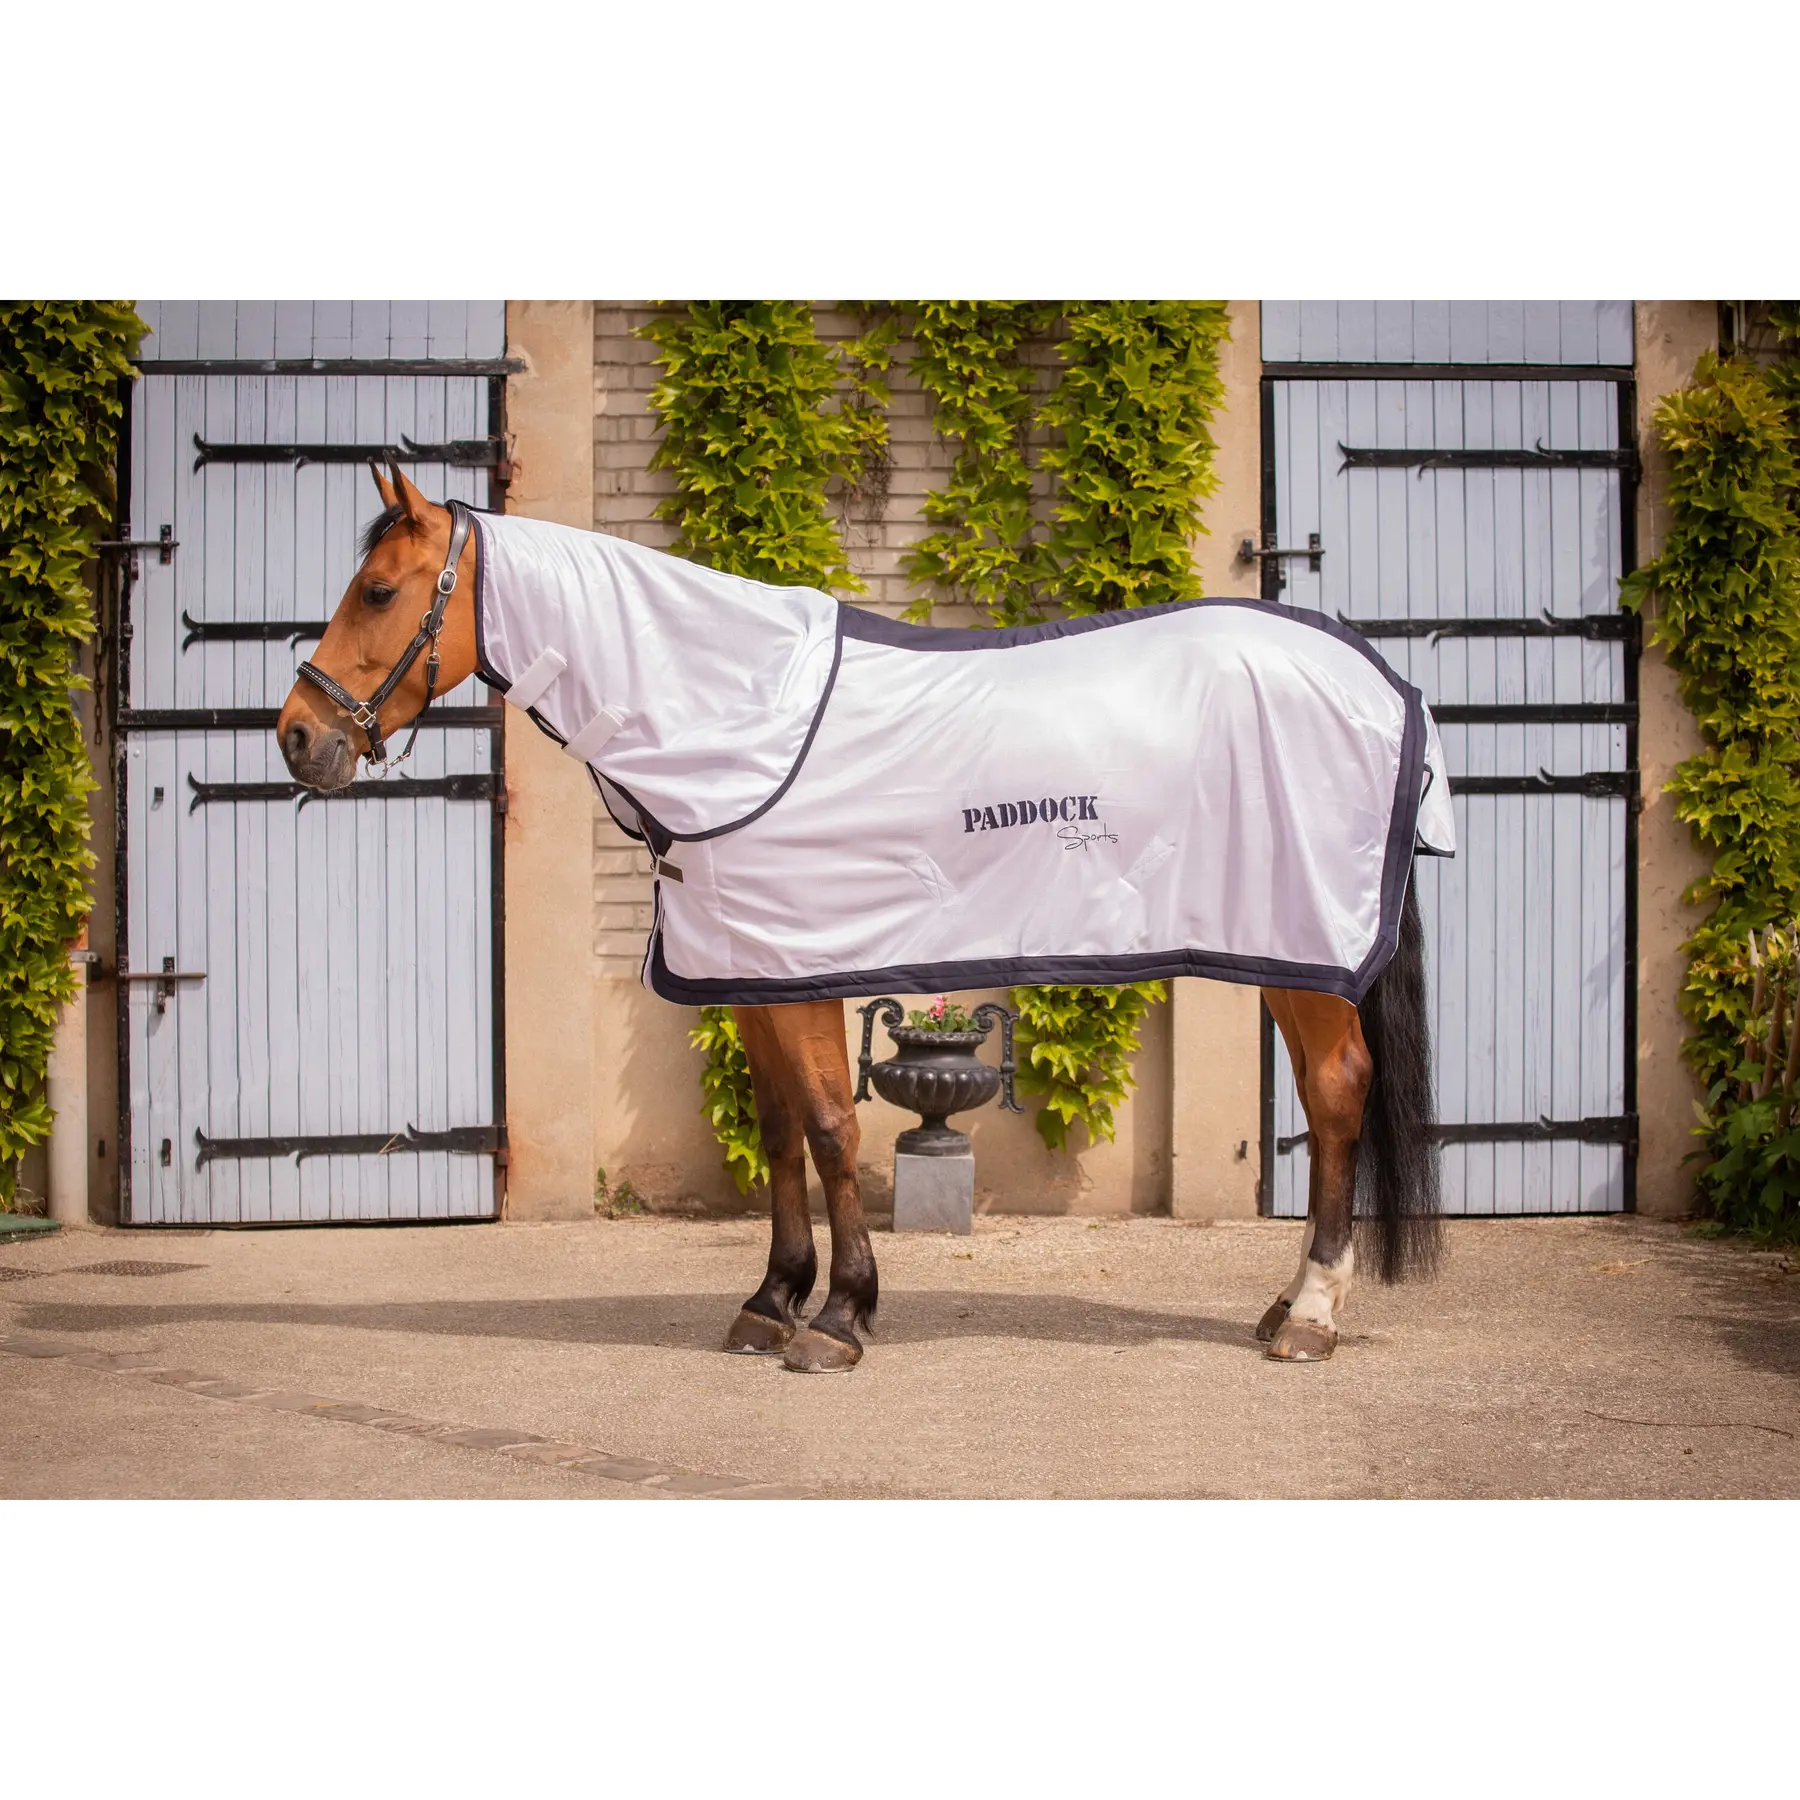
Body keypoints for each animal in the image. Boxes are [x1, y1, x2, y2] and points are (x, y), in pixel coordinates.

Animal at [277, 464, 1445, 1369]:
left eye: (378, 590)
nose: (295, 736)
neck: (725, 713)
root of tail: (1384, 686)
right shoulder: (751, 974)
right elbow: (781, 1133)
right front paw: (771, 1301)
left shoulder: (806, 969)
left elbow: (836, 1127)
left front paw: (839, 1318)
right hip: (1287, 957)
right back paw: (1281, 1308)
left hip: (1301, 956)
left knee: (1337, 1094)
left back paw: (1312, 1316)